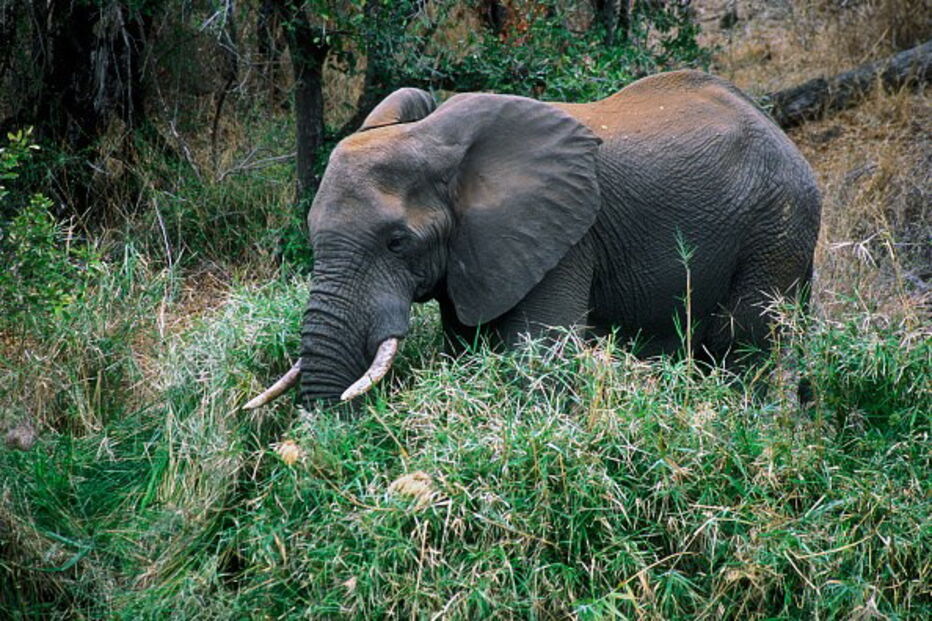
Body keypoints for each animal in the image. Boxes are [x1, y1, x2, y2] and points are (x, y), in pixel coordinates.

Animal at [245, 70, 821, 408]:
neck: (433, 140)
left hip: (776, 230)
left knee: (746, 347)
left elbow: (539, 356)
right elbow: (470, 348)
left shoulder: (564, 238)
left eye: (396, 242)